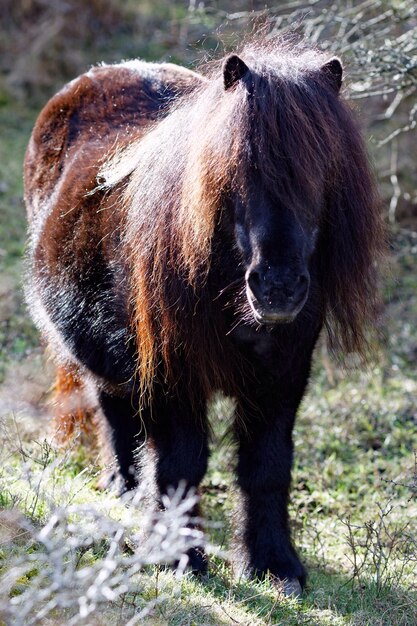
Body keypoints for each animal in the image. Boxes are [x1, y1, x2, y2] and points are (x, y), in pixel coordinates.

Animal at [23, 40, 384, 596]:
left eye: (321, 169)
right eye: (235, 169)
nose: (278, 286)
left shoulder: (283, 374)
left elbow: (266, 465)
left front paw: (275, 565)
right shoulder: (172, 375)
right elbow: (179, 466)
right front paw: (178, 558)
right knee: (113, 411)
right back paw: (124, 489)